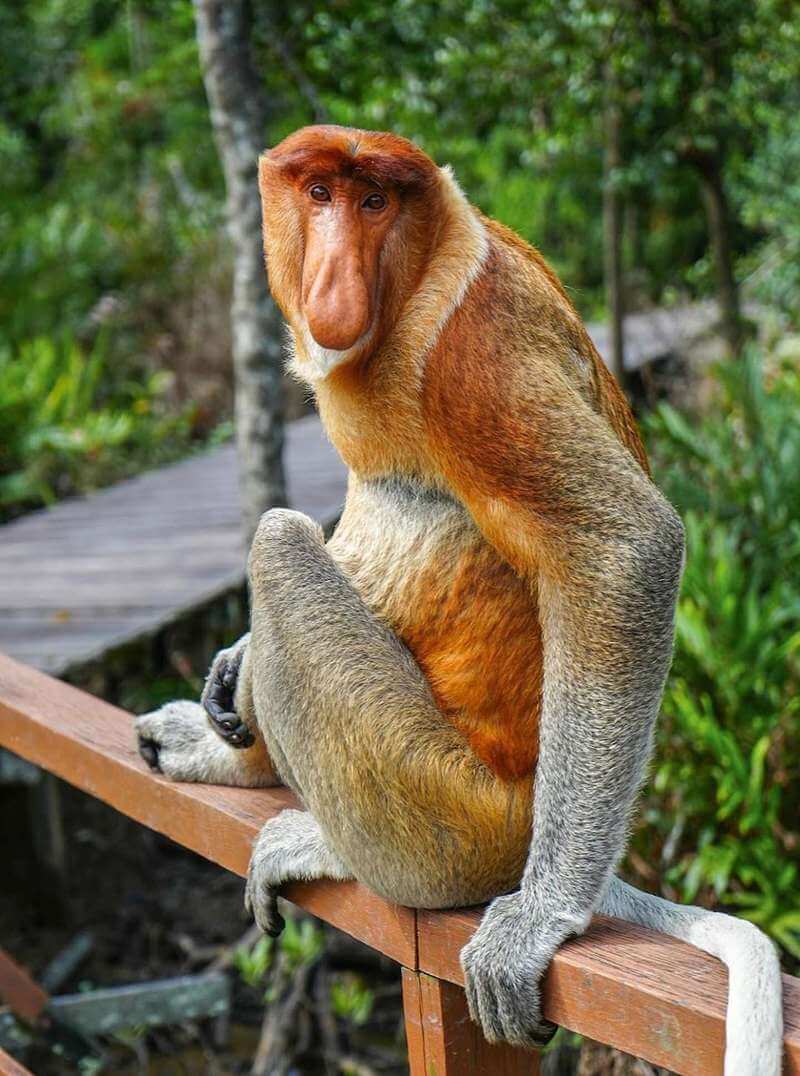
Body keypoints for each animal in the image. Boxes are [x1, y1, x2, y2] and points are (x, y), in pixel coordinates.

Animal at [136, 123, 783, 1067]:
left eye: (375, 201)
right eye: (320, 193)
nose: (335, 277)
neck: (421, 266)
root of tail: (521, 819)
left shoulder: (470, 351)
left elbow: (626, 546)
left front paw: (538, 922)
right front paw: (229, 666)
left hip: (453, 806)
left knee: (281, 543)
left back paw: (327, 843)